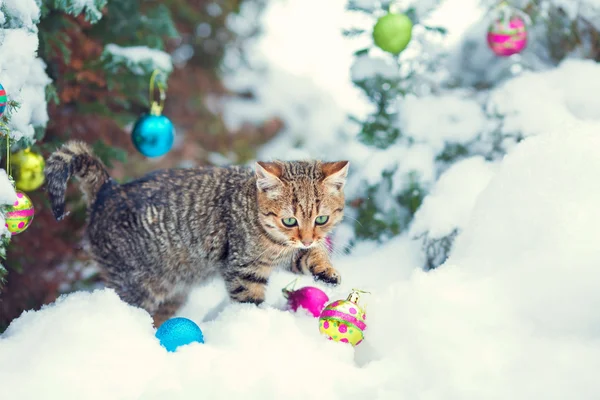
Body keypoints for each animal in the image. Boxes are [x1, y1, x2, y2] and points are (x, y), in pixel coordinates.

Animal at [44, 141, 350, 324]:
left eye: (321, 219)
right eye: (289, 220)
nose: (307, 238)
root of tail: (109, 190)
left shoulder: (290, 253)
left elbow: (311, 256)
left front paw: (326, 270)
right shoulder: (243, 267)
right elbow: (249, 299)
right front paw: (251, 322)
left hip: (173, 291)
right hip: (136, 286)